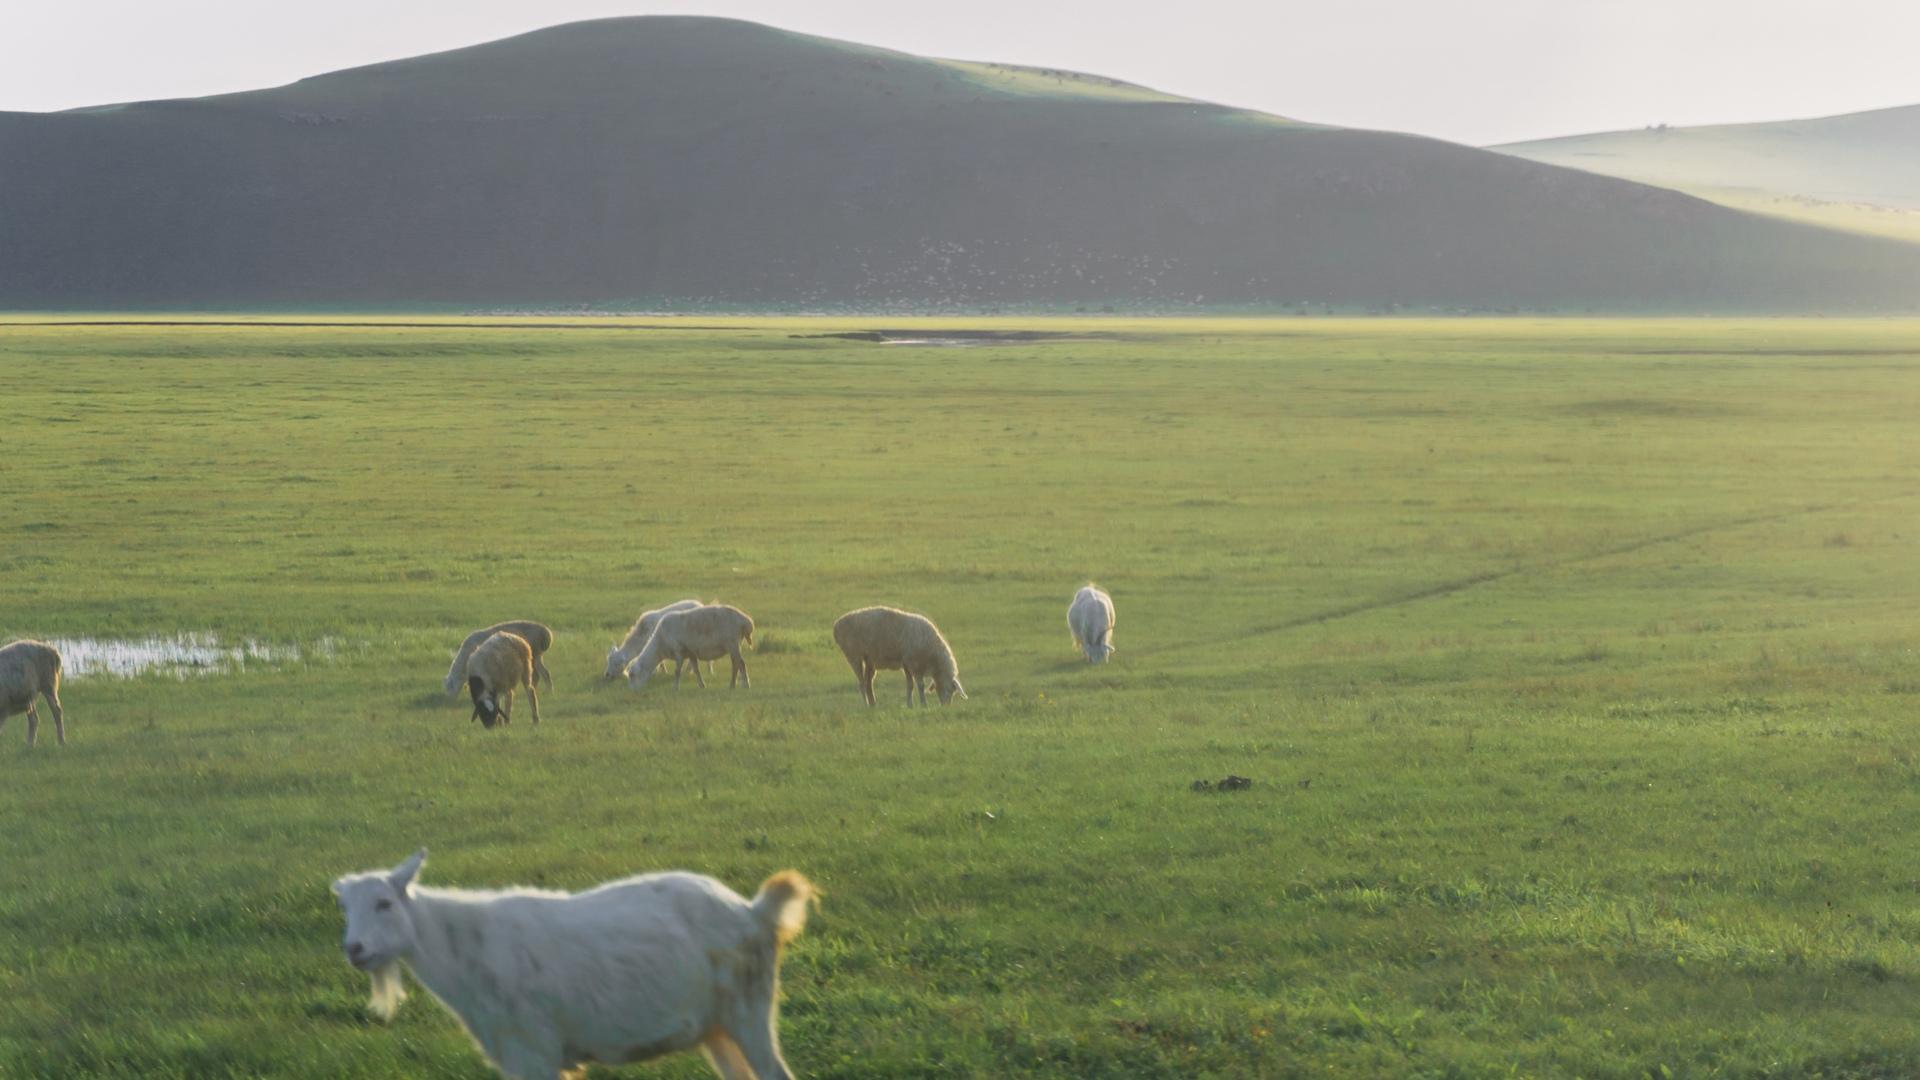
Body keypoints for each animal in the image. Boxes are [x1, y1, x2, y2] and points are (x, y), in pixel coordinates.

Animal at [334, 845, 814, 1076]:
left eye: (384, 903)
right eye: (344, 908)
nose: (354, 949)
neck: (466, 952)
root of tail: (754, 911)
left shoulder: (535, 1052)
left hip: (749, 1008)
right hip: (717, 1027)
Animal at [833, 599, 967, 703]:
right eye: (951, 690)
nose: (945, 706)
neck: (934, 656)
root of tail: (837, 625)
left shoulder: (906, 663)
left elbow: (910, 685)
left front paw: (910, 705)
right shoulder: (915, 664)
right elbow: (920, 686)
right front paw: (924, 704)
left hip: (869, 660)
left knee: (868, 683)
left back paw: (873, 705)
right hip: (853, 655)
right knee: (861, 684)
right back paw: (866, 705)